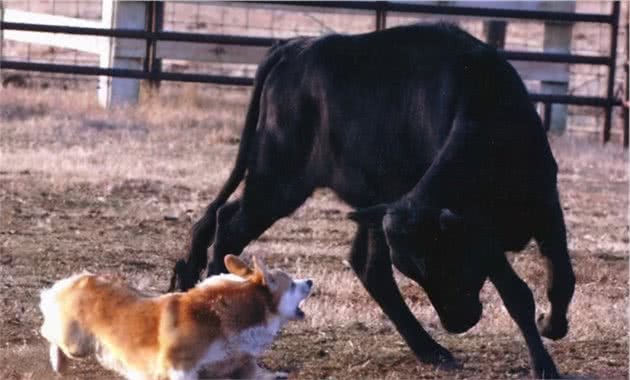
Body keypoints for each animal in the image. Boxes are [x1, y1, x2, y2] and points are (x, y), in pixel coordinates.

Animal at [39, 255, 314, 380]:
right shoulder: (181, 367)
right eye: (291, 284)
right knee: (49, 331)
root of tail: (81, 278)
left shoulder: (238, 363)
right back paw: (57, 362)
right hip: (75, 344)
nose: (310, 281)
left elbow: (260, 372)